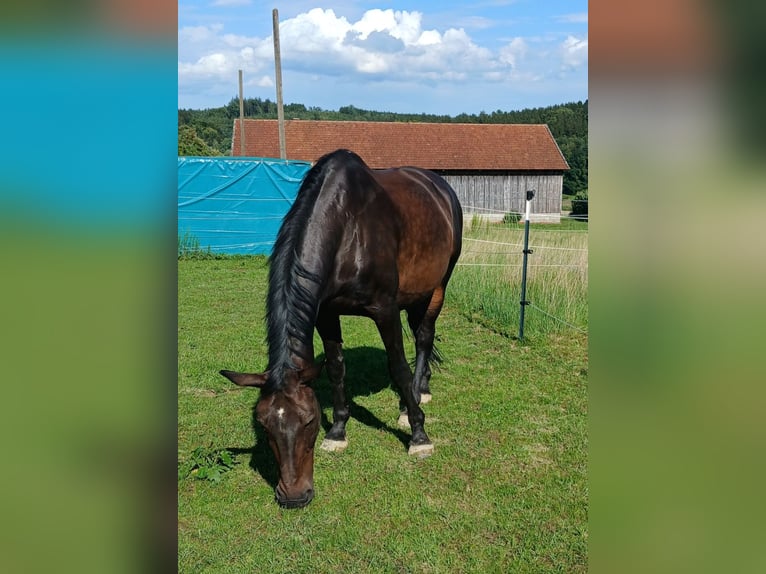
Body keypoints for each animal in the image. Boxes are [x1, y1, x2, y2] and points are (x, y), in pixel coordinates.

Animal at [220, 149, 462, 508]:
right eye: (264, 425)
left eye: (308, 420)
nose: (293, 496)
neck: (348, 230)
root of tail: (438, 185)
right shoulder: (326, 313)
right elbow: (335, 368)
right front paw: (337, 431)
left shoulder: (385, 310)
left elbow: (398, 367)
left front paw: (419, 436)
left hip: (439, 287)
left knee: (423, 338)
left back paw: (417, 397)